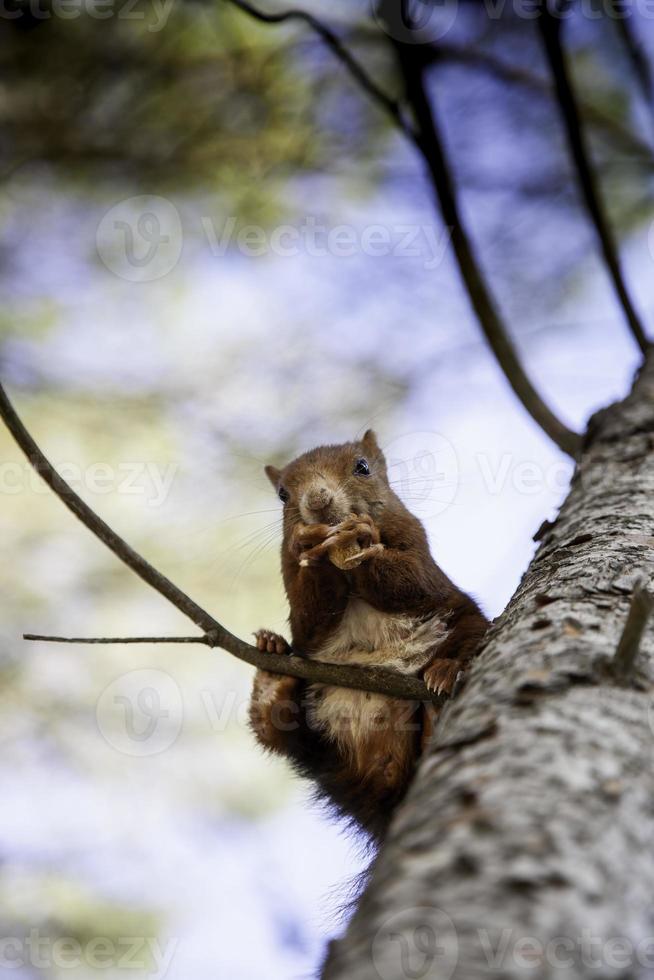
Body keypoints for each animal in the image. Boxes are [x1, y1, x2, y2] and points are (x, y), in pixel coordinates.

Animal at [249, 430, 490, 844]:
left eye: (362, 467)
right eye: (282, 494)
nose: (318, 501)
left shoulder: (415, 542)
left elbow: (413, 581)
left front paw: (363, 538)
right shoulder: (293, 582)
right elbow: (308, 622)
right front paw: (310, 546)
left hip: (465, 621)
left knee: (466, 639)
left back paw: (443, 680)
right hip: (319, 738)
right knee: (287, 737)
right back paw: (272, 676)